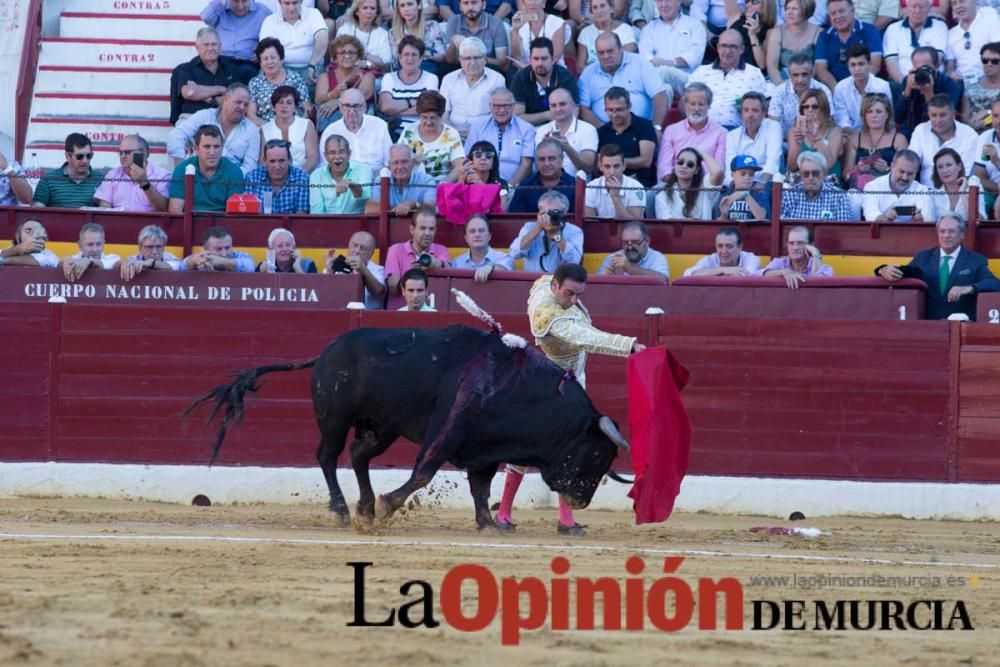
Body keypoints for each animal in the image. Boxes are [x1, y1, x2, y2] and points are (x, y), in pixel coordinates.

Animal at [188, 324, 628, 532]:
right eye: (596, 453)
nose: (581, 500)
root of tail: (326, 351)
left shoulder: (485, 450)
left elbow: (480, 487)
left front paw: (488, 524)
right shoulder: (448, 431)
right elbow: (423, 472)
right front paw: (389, 505)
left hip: (382, 428)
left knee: (358, 455)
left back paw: (364, 506)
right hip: (335, 418)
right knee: (327, 455)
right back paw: (343, 509)